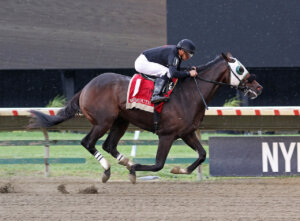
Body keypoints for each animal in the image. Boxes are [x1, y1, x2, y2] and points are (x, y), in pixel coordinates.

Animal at [28, 52, 262, 183]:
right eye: (240, 68)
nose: (258, 86)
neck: (189, 93)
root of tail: (85, 87)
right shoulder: (167, 135)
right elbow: (158, 164)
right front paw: (134, 171)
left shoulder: (186, 133)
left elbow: (203, 154)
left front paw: (179, 169)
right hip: (103, 121)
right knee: (88, 142)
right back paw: (108, 169)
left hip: (121, 121)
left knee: (109, 145)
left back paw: (124, 160)